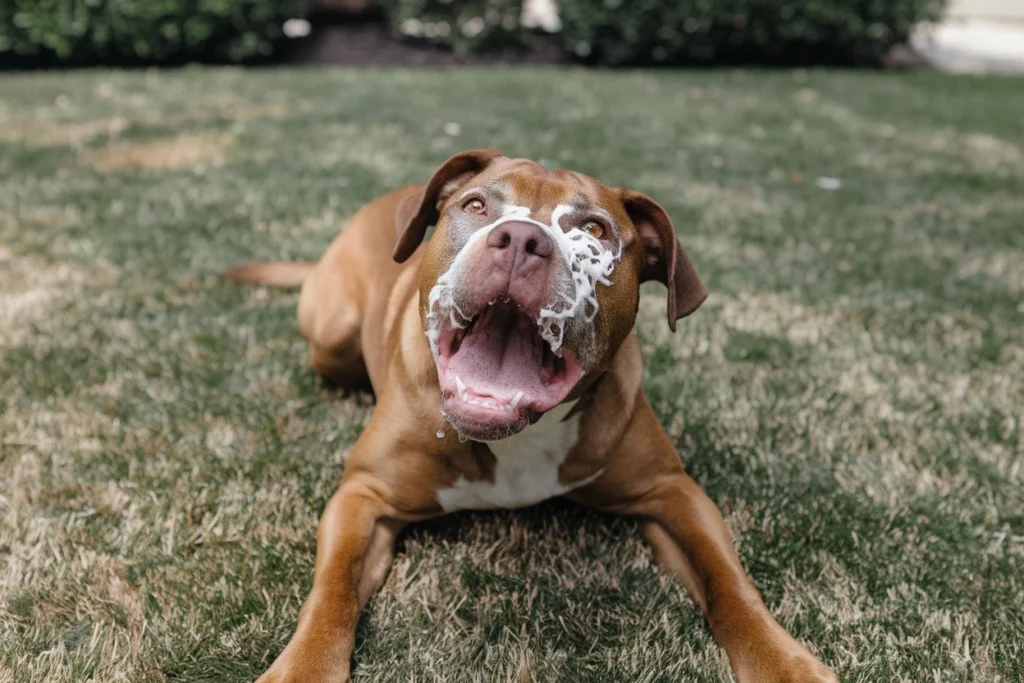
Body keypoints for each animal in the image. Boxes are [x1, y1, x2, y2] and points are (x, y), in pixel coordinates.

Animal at [228, 150, 835, 683]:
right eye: (476, 205)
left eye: (595, 229)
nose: (523, 238)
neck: (517, 438)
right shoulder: (363, 495)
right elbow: (333, 590)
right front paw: (304, 667)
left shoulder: (671, 492)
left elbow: (729, 582)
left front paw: (784, 662)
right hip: (332, 334)